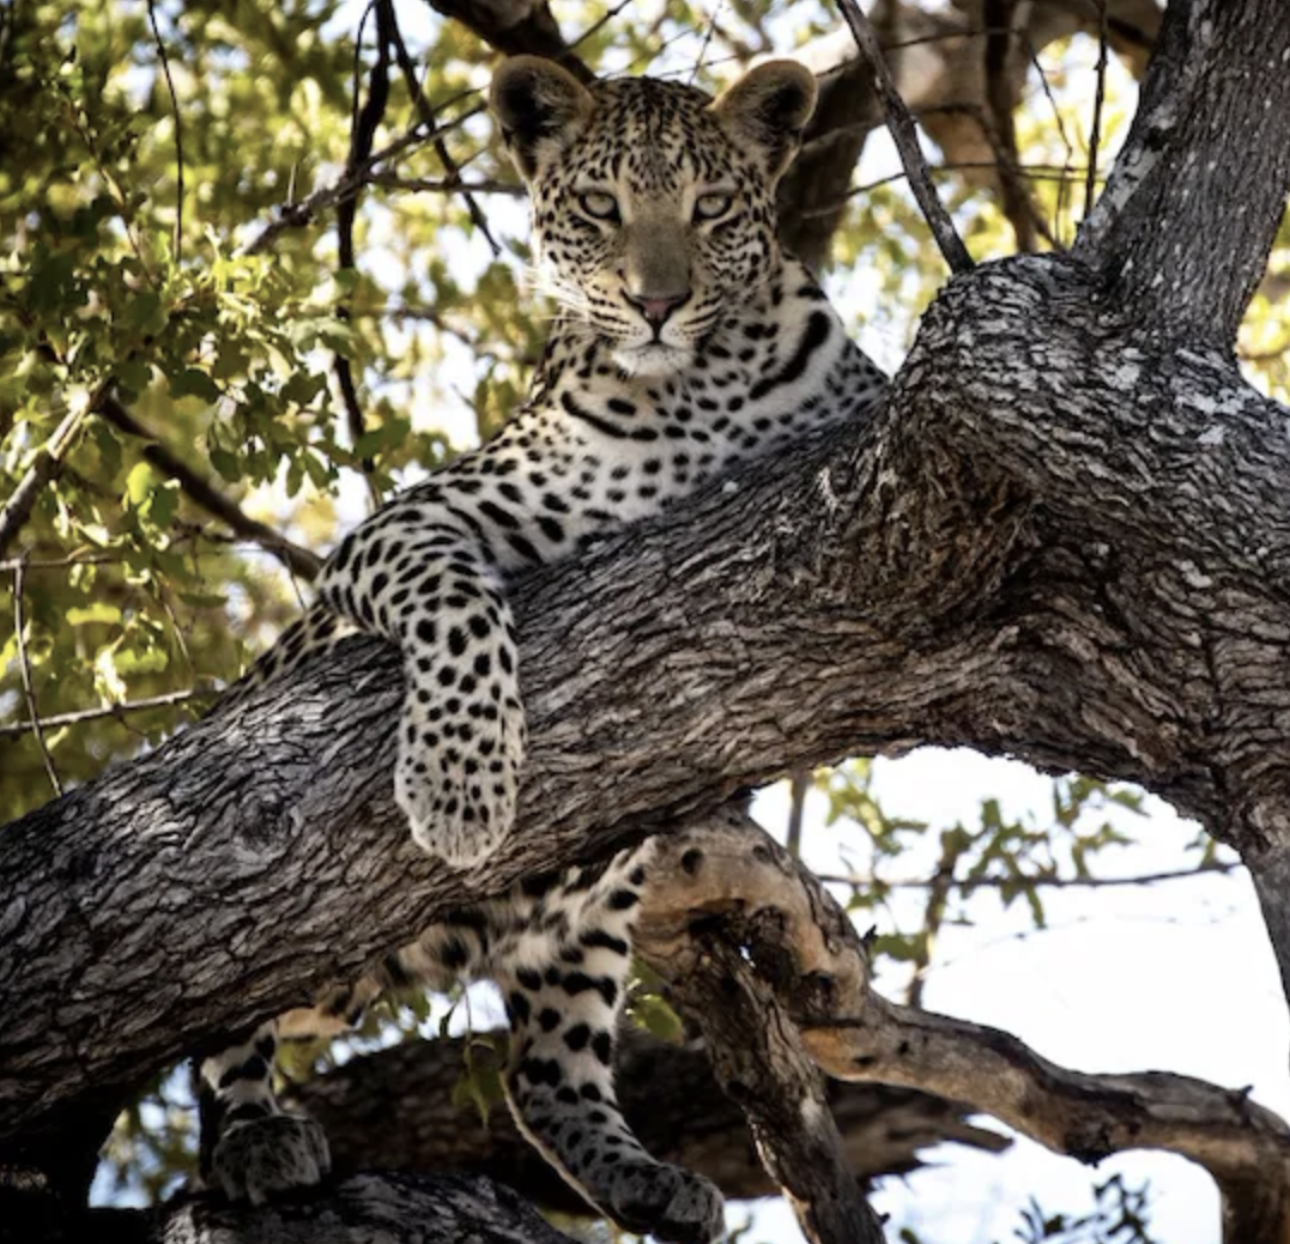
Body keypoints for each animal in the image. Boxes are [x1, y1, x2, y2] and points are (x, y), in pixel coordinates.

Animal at [194, 53, 887, 1244]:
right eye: (601, 207)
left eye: (710, 208)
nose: (657, 303)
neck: (697, 388)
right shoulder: (408, 529)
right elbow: (459, 607)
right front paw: (460, 790)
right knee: (220, 1046)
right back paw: (255, 1139)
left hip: (593, 918)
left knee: (543, 1075)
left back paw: (643, 1175)